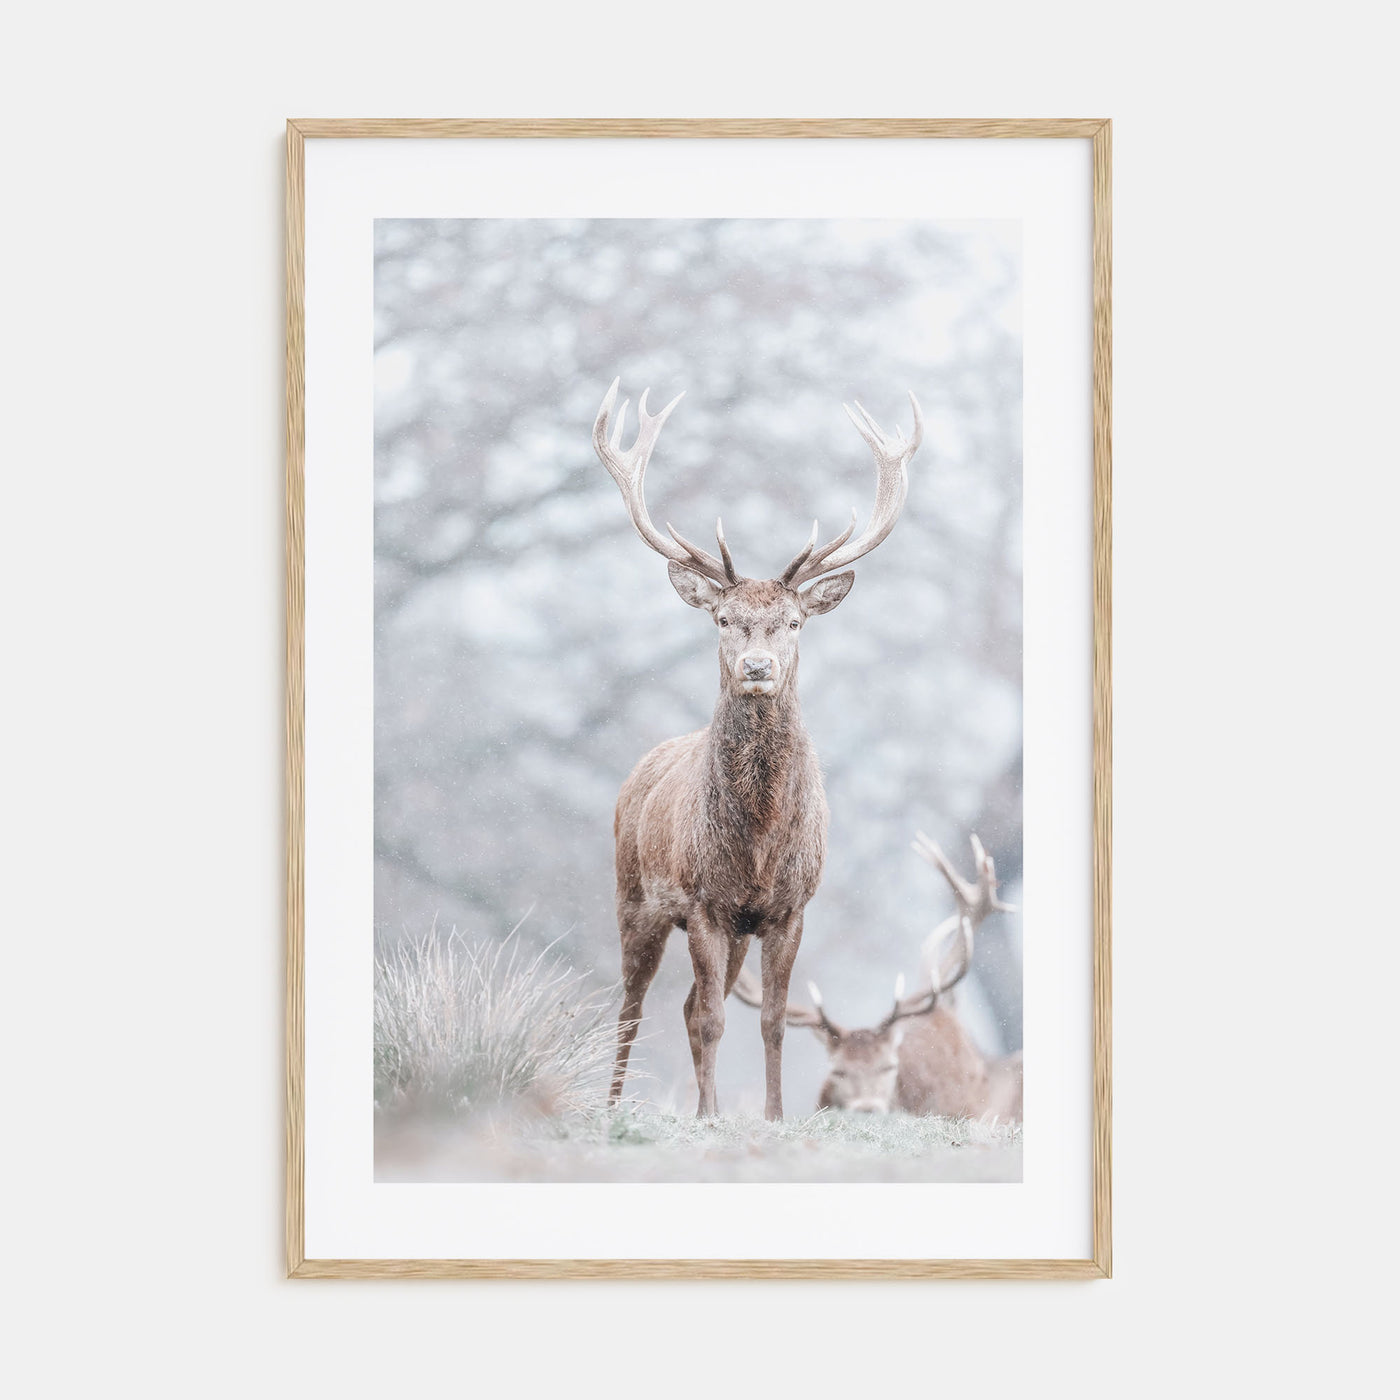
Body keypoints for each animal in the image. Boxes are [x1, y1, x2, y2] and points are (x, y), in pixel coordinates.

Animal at [594, 378, 923, 1120]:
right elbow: (716, 1019)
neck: (759, 839)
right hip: (635, 897)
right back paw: (617, 1104)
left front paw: (771, 1116)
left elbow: (770, 1021)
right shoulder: (703, 902)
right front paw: (712, 1117)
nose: (756, 667)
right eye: (724, 618)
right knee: (635, 1007)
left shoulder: (787, 908)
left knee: (688, 1005)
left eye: (794, 622)